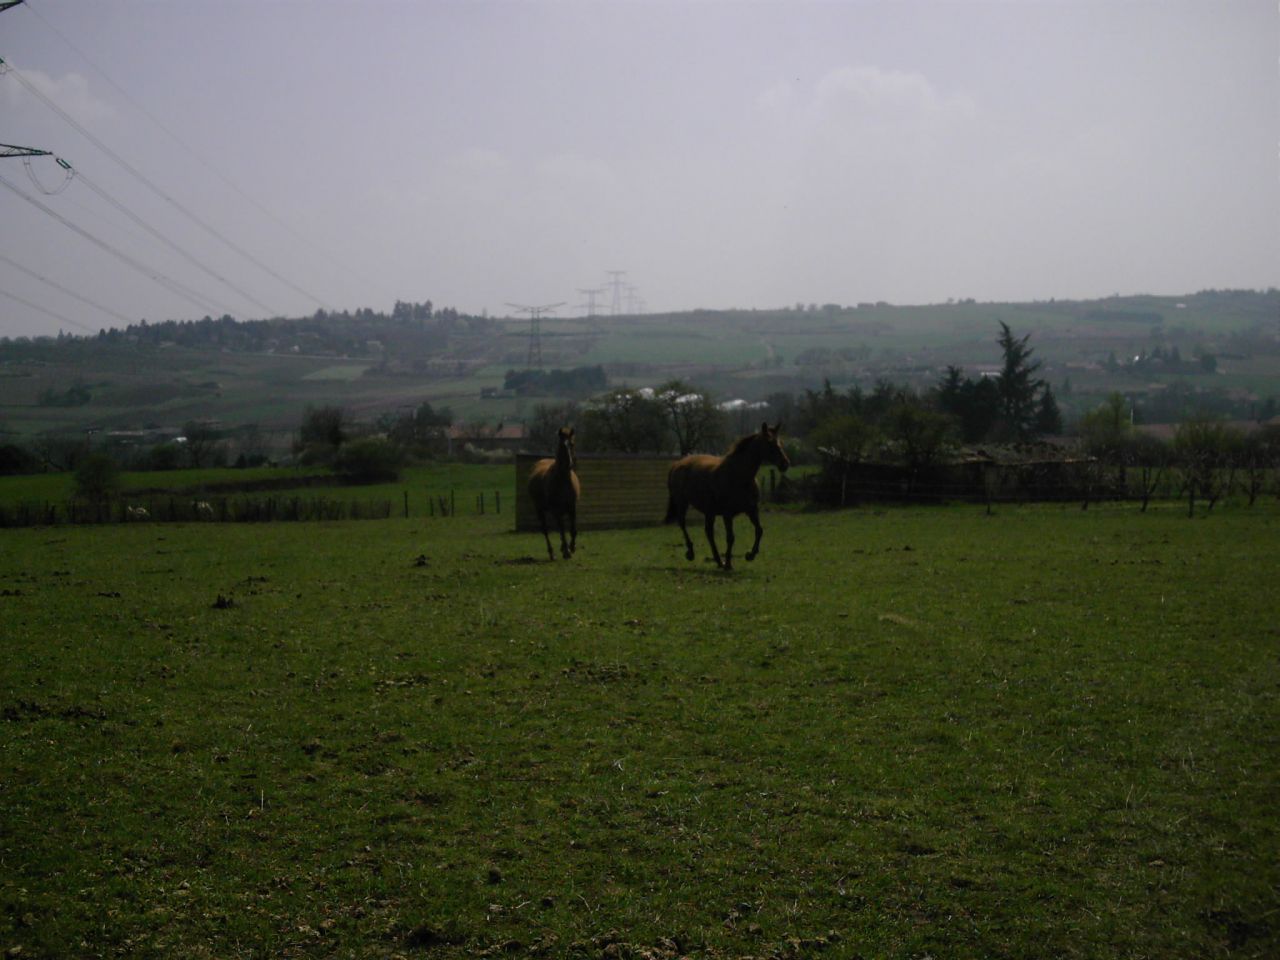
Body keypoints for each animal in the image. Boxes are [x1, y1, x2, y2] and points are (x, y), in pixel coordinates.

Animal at [528, 426, 580, 561]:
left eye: (572, 444)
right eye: (561, 445)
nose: (569, 464)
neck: (563, 480)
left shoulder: (572, 507)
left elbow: (573, 529)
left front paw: (572, 547)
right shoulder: (556, 509)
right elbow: (561, 528)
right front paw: (567, 551)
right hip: (540, 510)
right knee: (545, 530)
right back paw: (552, 553)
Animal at [665, 421, 789, 570]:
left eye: (780, 443)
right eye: (770, 443)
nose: (785, 464)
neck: (739, 476)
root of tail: (677, 464)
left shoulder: (752, 510)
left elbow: (759, 530)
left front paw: (750, 555)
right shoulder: (727, 514)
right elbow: (730, 537)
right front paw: (729, 563)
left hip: (709, 511)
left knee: (709, 532)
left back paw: (719, 561)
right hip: (682, 503)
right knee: (683, 524)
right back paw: (691, 553)